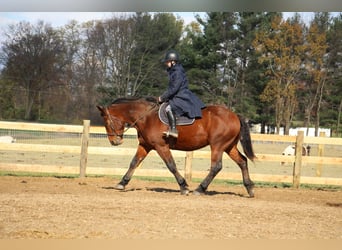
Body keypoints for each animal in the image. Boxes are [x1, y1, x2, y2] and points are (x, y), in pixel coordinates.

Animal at [97, 97, 255, 197]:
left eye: (106, 121)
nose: (114, 142)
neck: (146, 117)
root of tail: (234, 115)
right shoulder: (145, 145)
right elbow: (134, 162)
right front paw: (122, 183)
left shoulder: (161, 146)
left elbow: (171, 165)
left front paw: (183, 186)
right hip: (228, 147)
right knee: (242, 161)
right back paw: (249, 188)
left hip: (218, 146)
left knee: (216, 167)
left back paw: (200, 189)